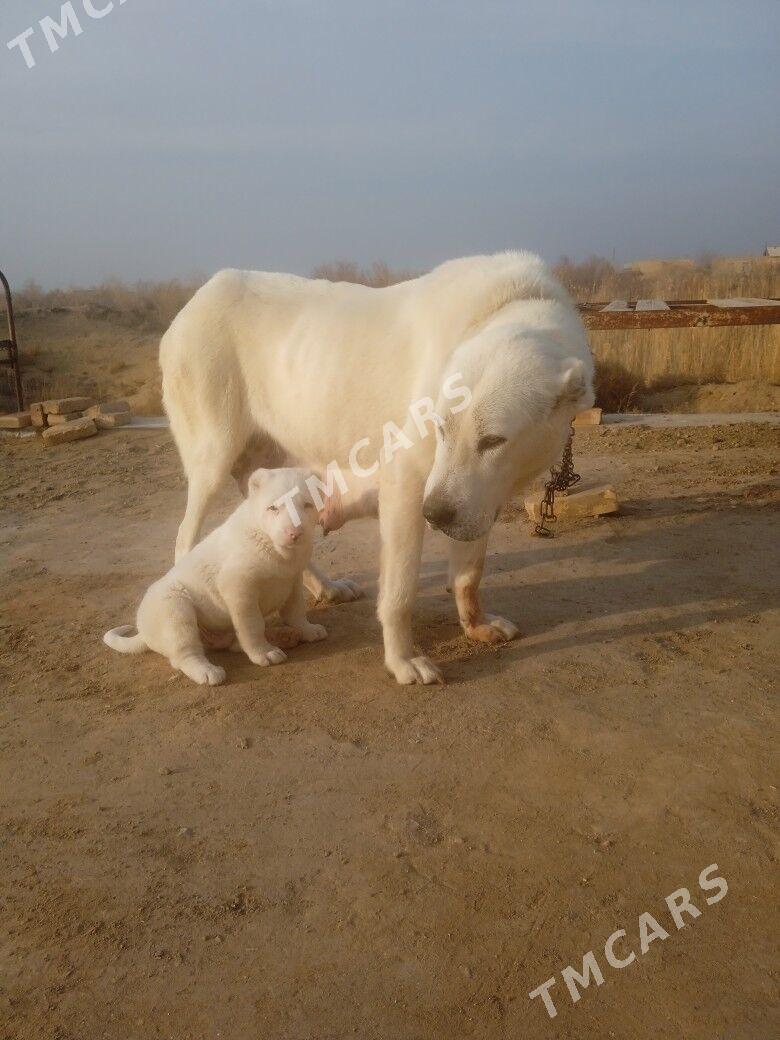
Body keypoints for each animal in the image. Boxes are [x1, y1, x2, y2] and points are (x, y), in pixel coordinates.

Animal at [102, 470, 324, 682]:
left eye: (307, 505)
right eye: (273, 508)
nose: (295, 533)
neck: (270, 543)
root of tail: (143, 631)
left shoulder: (293, 580)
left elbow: (295, 610)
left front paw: (307, 629)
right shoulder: (238, 588)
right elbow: (252, 625)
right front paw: (264, 653)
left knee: (232, 643)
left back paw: (284, 636)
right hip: (174, 609)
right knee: (185, 654)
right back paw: (208, 672)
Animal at [162, 251, 594, 686]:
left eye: (493, 441)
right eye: (440, 428)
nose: (435, 516)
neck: (511, 306)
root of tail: (193, 304)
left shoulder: (477, 498)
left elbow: (469, 573)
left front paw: (477, 625)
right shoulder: (406, 488)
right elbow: (400, 593)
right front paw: (404, 660)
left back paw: (326, 588)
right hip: (212, 459)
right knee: (184, 537)